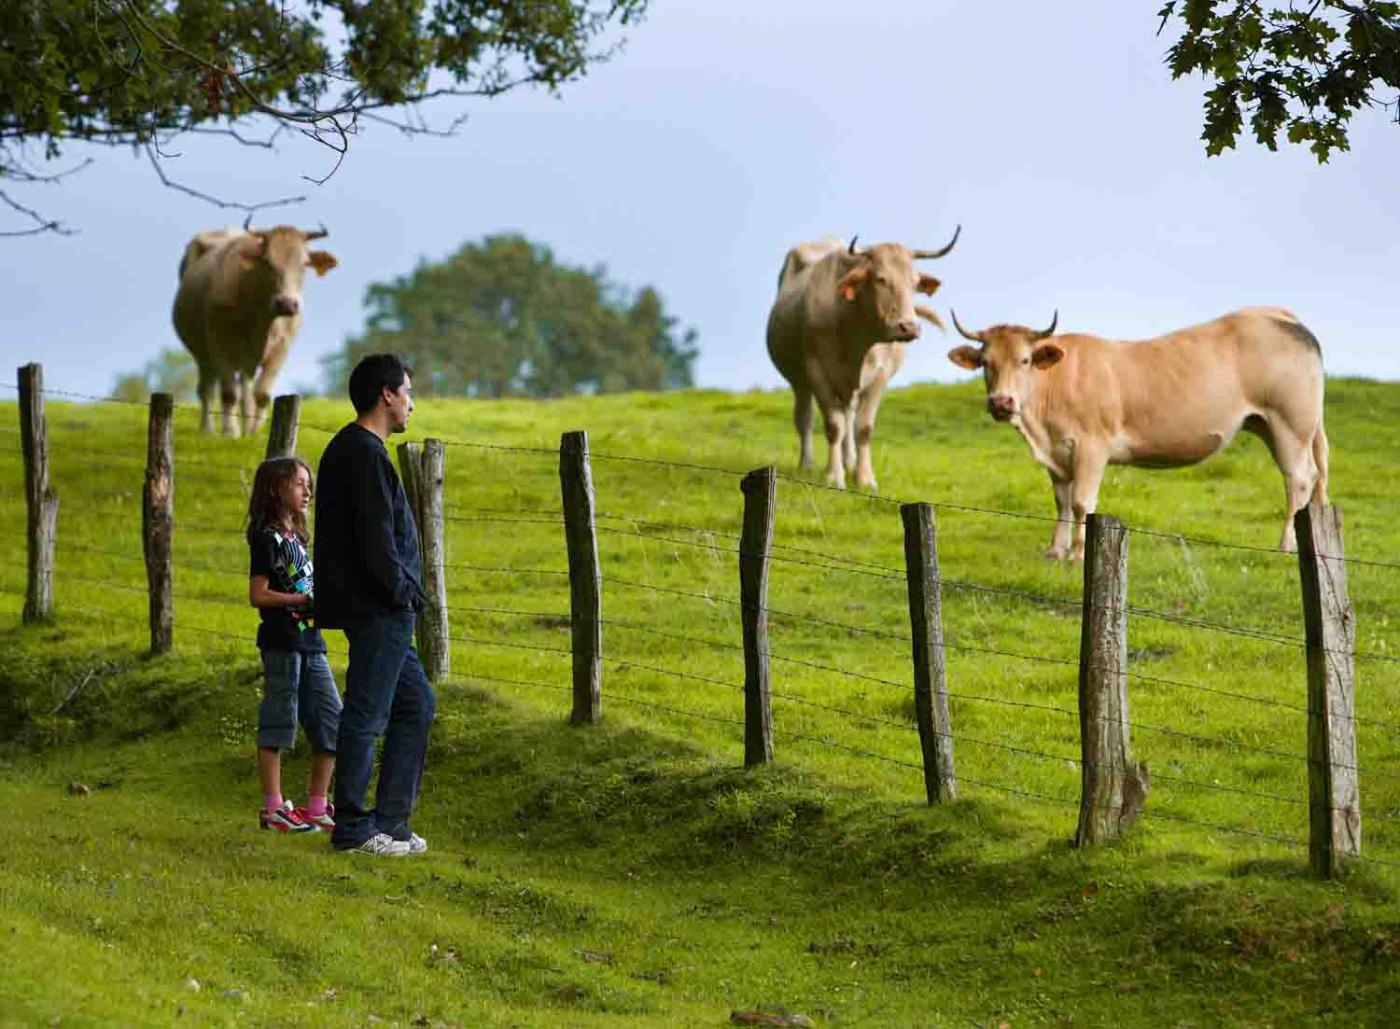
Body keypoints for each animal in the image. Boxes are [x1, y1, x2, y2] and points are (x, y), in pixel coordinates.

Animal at [172, 219, 338, 436]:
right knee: (207, 389)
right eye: (267, 262)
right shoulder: (219, 344)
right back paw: (207, 429)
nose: (287, 303)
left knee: (246, 392)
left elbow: (262, 394)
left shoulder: (281, 348)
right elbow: (229, 393)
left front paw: (253, 433)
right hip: (203, 355)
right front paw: (230, 432)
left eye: (304, 264)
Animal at [767, 228, 963, 490]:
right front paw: (834, 476)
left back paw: (849, 462)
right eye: (880, 279)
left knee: (849, 418)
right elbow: (833, 426)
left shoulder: (879, 376)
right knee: (805, 419)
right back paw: (807, 465)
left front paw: (865, 478)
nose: (908, 327)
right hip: (799, 382)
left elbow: (863, 428)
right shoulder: (816, 371)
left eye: (914, 283)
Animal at [946, 305, 1327, 560]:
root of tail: (1276, 314)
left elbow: (1083, 502)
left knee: (1300, 478)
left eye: (1024, 360)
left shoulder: (1091, 447)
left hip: (1290, 423)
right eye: (986, 363)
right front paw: (1055, 550)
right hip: (1268, 423)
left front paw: (1078, 554)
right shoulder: (1057, 454)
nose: (1001, 402)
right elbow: (1062, 502)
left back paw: (1286, 545)